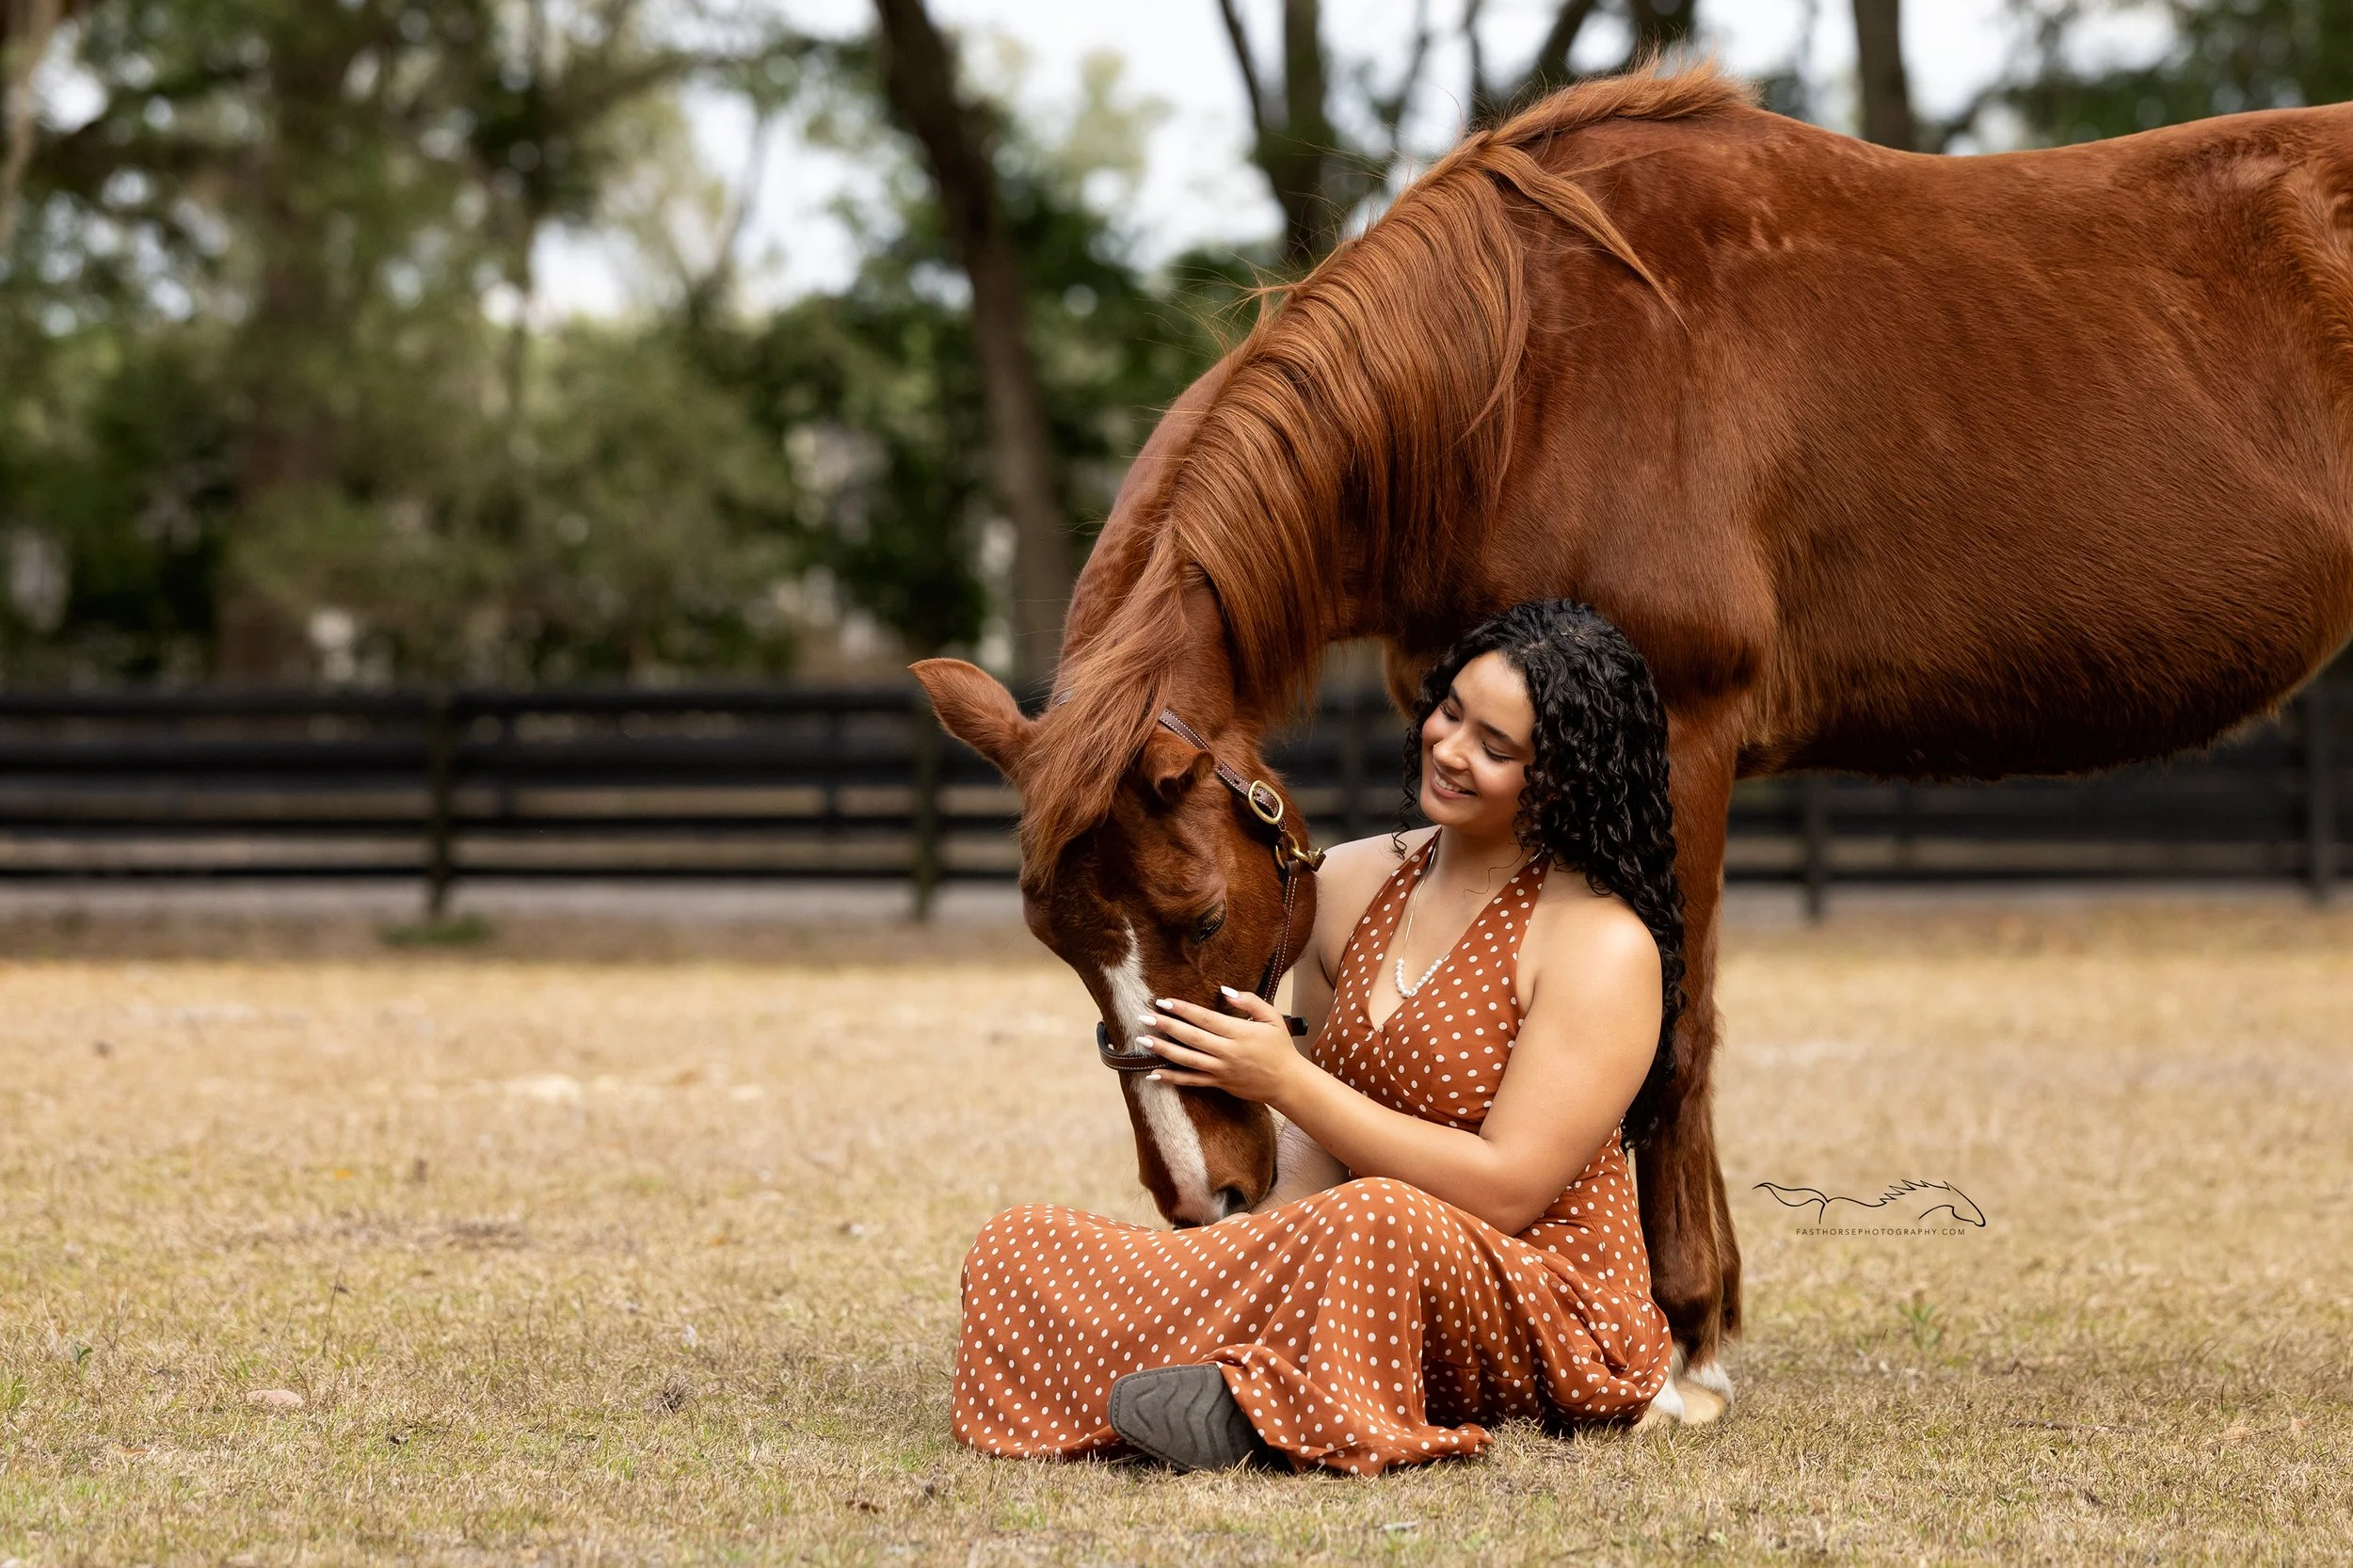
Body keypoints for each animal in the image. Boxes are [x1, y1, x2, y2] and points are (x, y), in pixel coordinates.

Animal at [911, 62, 2353, 1415]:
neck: (1517, 380)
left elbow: (1673, 1030)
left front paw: (1683, 1346)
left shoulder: (1681, 742)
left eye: (1200, 918)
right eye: (1057, 942)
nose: (1199, 1197)